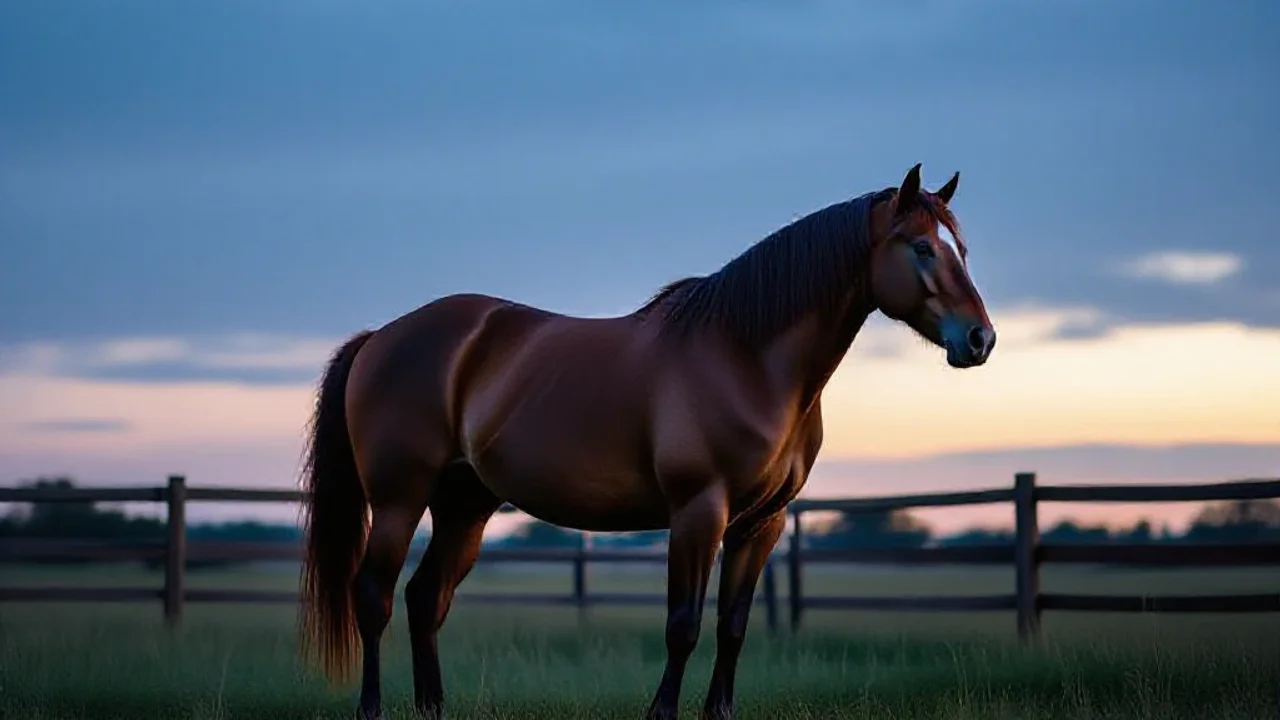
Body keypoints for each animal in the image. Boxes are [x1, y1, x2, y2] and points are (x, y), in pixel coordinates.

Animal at [298, 163, 995, 720]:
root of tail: (382, 336)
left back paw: (432, 708)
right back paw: (372, 708)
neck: (745, 358)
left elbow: (733, 625)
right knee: (374, 596)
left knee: (425, 598)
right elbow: (682, 625)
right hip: (399, 499)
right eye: (920, 248)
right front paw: (661, 711)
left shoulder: (762, 523)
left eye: (961, 249)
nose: (980, 339)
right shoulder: (697, 512)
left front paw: (719, 712)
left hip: (464, 505)